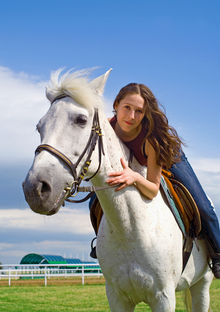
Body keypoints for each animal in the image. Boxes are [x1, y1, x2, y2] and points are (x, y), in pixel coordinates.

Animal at [22, 69, 213, 312]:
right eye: (40, 127)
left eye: (81, 120)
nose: (35, 189)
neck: (131, 227)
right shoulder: (116, 297)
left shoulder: (164, 297)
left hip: (202, 285)